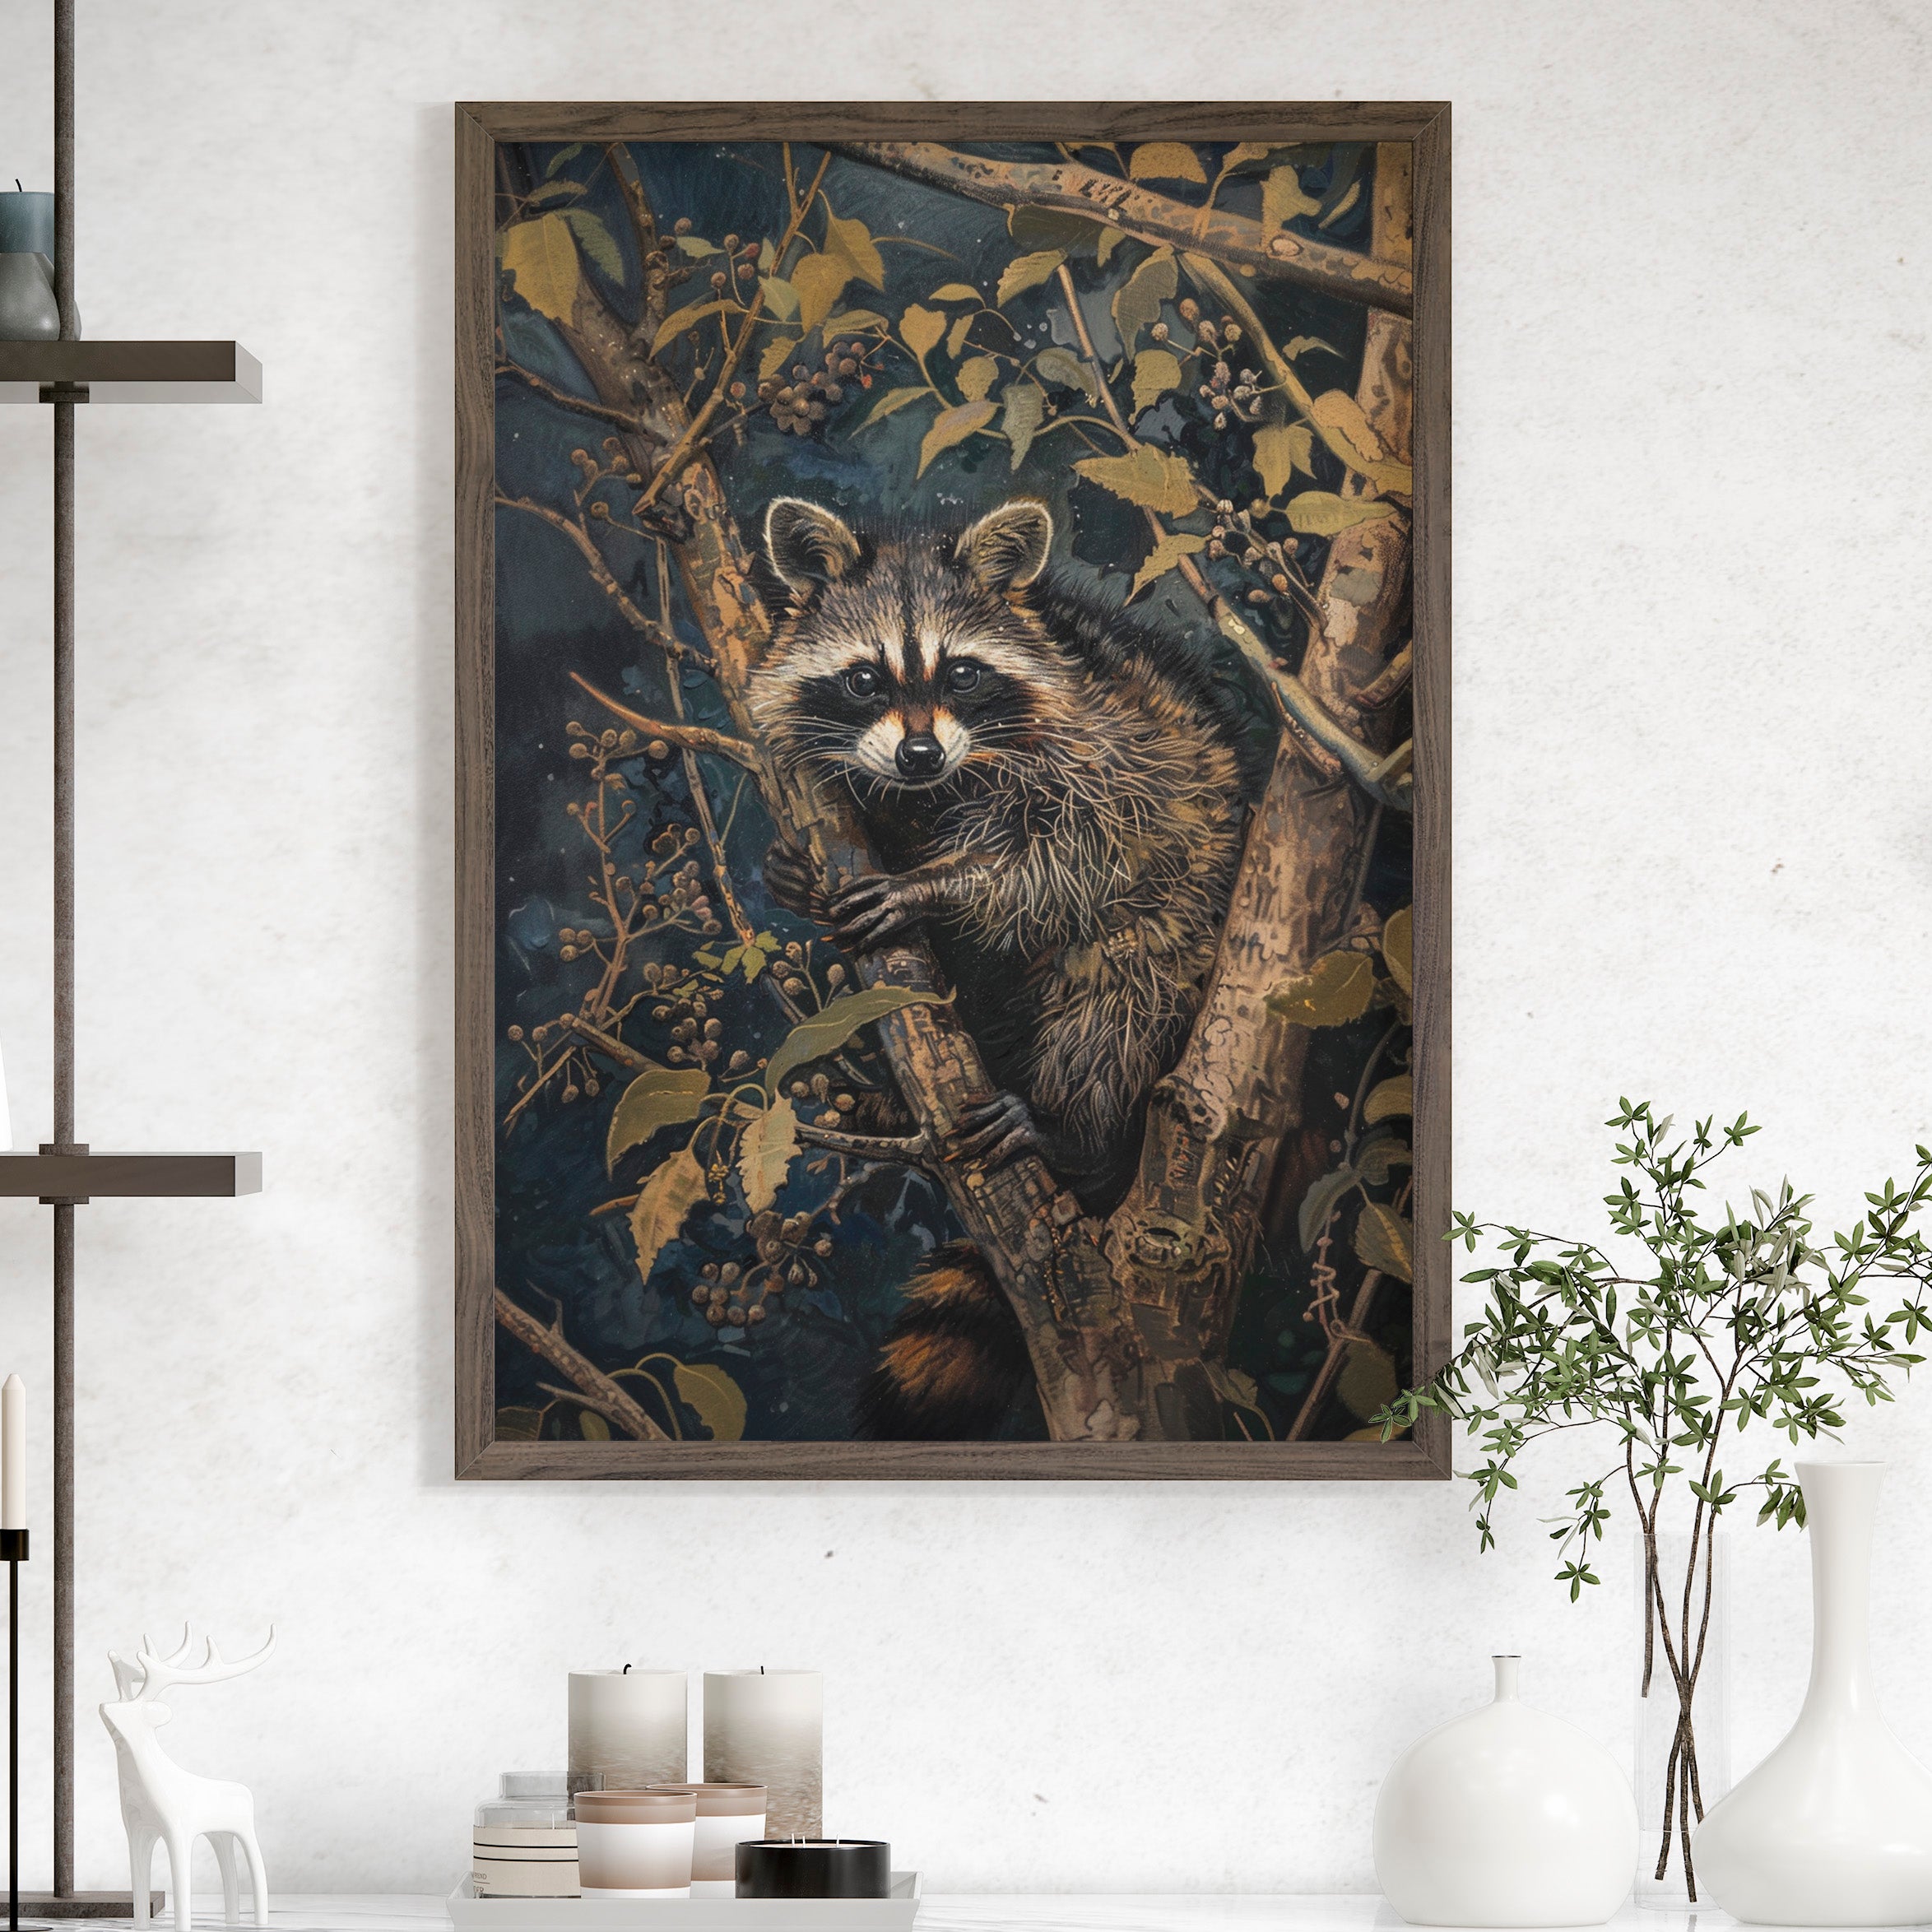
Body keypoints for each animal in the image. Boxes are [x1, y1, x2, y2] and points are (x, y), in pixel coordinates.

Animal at [747, 495, 1253, 1435]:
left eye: (962, 675)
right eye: (864, 679)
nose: (917, 755)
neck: (942, 785)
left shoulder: (1110, 758)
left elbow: (1064, 865)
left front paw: (938, 886)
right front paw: (794, 872)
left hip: (1183, 934)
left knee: (1116, 1000)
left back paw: (1070, 1128)